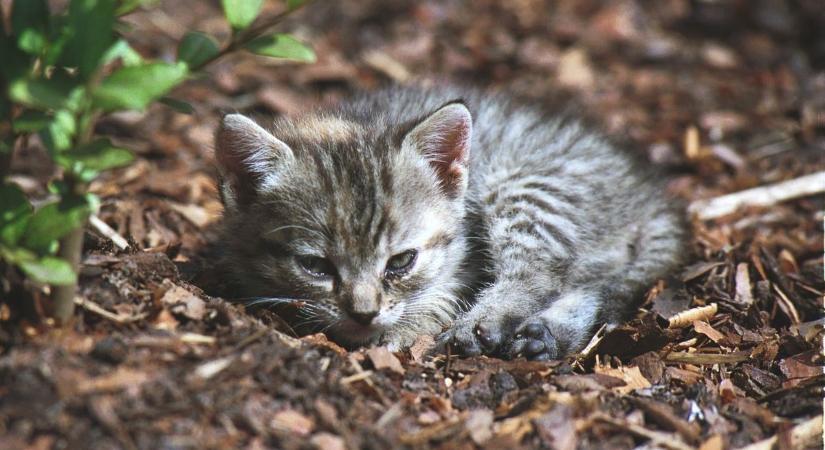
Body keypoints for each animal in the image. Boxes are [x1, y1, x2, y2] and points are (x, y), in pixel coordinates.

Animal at [216, 86, 684, 360]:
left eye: (401, 262)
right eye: (315, 266)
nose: (364, 315)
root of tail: (647, 196)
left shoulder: (465, 254)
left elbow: (440, 294)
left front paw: (407, 328)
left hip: (523, 187)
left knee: (539, 277)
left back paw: (485, 324)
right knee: (588, 283)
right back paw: (549, 334)